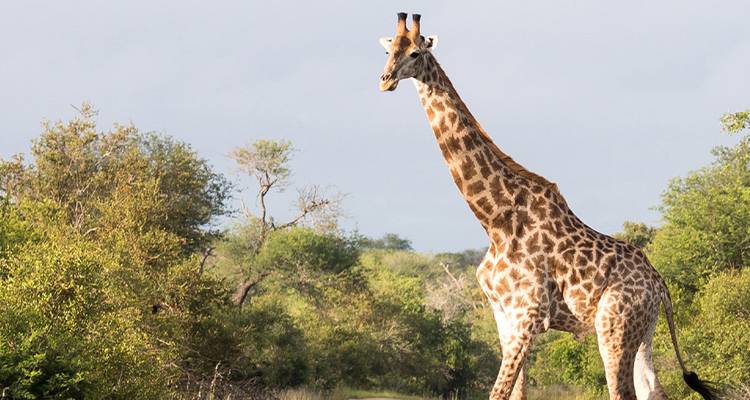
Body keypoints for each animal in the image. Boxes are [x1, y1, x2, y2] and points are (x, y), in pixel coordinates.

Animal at [378, 13, 721, 400]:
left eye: (416, 53)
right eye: (390, 50)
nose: (385, 81)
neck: (494, 218)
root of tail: (659, 283)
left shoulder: (528, 315)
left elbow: (499, 393)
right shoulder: (504, 316)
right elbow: (515, 393)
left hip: (614, 327)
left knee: (623, 391)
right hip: (643, 331)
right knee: (653, 390)